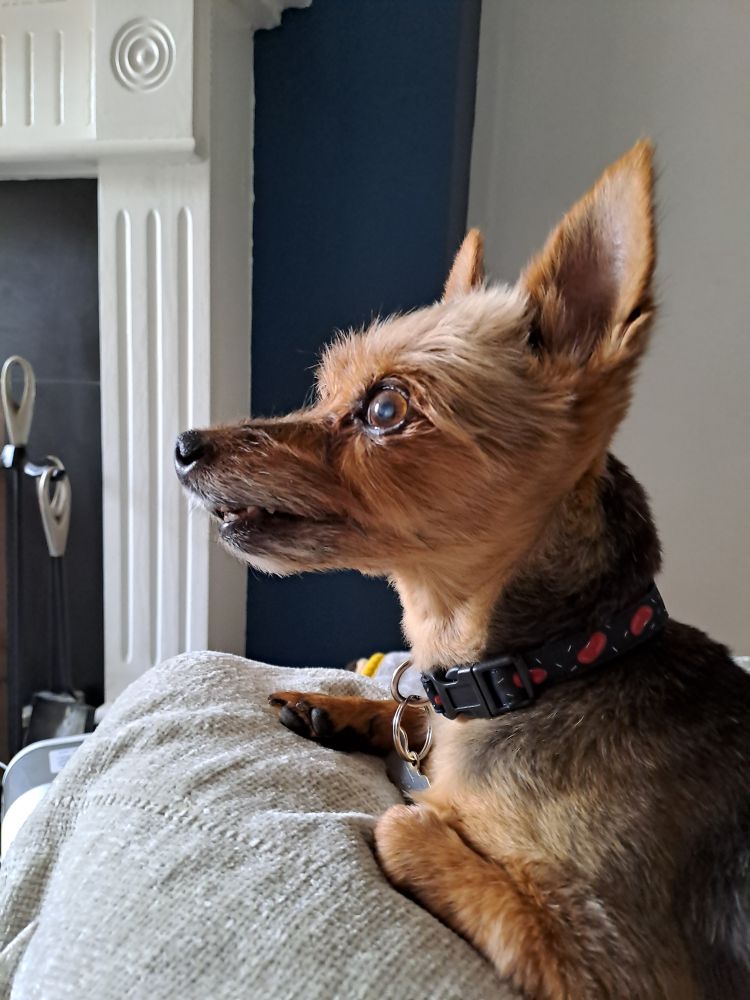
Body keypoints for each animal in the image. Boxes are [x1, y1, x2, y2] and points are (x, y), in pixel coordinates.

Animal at [175, 141, 750, 999]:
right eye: (324, 392)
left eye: (384, 409)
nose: (183, 446)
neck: (551, 664)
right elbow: (404, 707)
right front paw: (332, 706)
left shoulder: (618, 969)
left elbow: (402, 822)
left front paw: (433, 807)